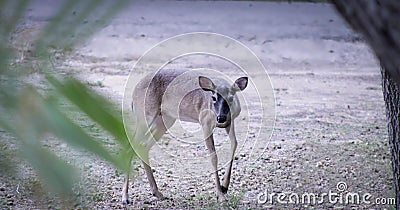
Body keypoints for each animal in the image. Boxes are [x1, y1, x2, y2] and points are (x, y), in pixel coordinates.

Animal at [122, 68, 247, 203]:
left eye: (231, 97)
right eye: (213, 97)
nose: (221, 118)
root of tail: (134, 92)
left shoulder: (231, 121)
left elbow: (234, 143)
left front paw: (224, 187)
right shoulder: (205, 122)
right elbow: (213, 157)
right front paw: (220, 195)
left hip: (164, 120)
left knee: (143, 146)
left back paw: (157, 193)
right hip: (144, 115)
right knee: (131, 146)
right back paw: (125, 197)